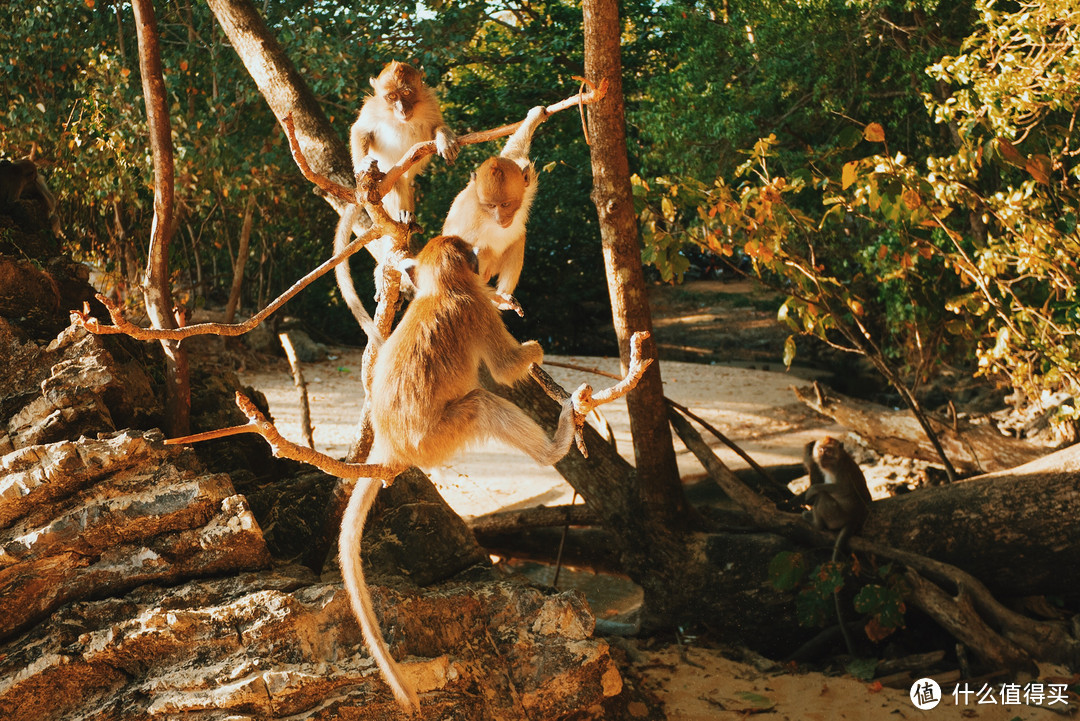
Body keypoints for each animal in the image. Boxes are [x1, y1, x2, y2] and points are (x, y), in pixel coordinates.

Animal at [334, 59, 457, 334]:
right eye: (392, 97)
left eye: (407, 93)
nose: (401, 108)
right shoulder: (372, 108)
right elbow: (360, 130)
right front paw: (362, 165)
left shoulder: (430, 102)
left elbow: (435, 126)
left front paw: (445, 136)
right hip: (386, 177)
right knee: (395, 181)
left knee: (402, 184)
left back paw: (405, 215)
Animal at [341, 235, 583, 708]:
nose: (479, 265)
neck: (441, 291)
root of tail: (390, 443)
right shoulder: (476, 309)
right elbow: (505, 369)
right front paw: (534, 351)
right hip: (439, 438)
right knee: (482, 404)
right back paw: (555, 448)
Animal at [440, 105, 548, 308]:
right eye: (491, 206)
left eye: (505, 204)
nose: (500, 218)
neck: (486, 215)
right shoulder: (470, 217)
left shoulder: (525, 179)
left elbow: (511, 154)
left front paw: (534, 116)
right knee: (481, 251)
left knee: (518, 237)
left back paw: (503, 297)